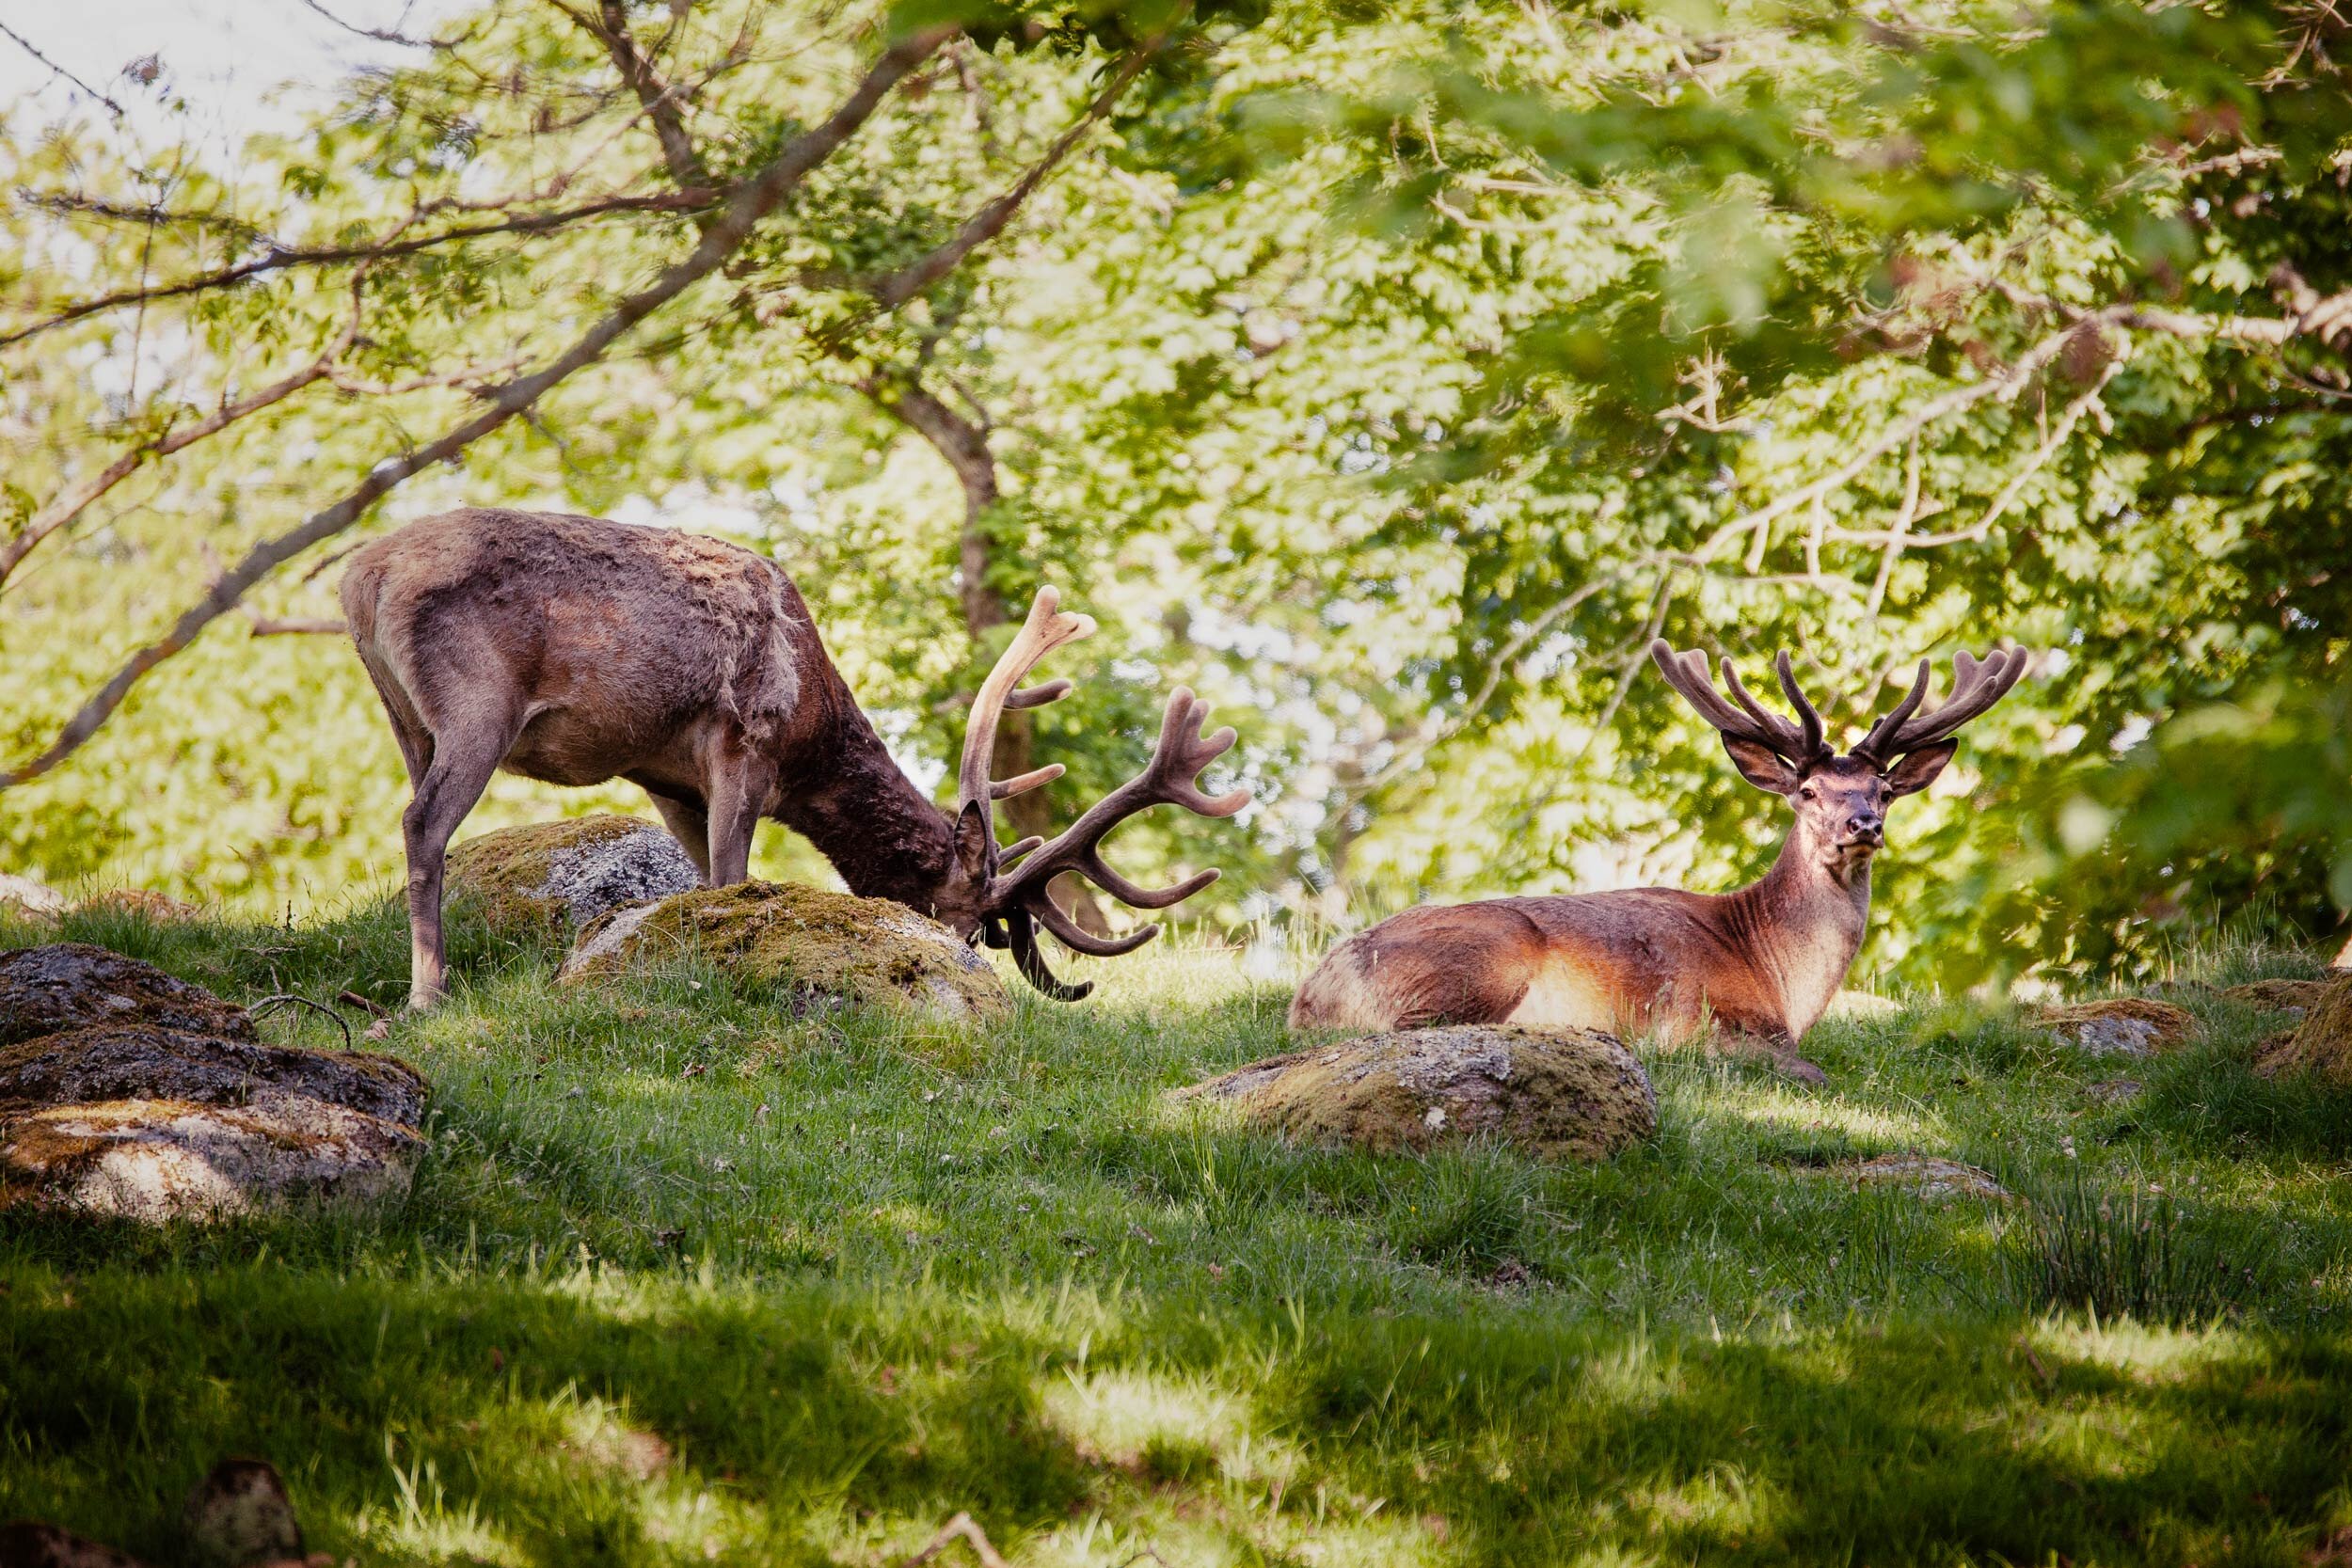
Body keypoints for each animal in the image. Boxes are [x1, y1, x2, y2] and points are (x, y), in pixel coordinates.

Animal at [343, 510, 1251, 1010]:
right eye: (962, 921)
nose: (968, 967)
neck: (814, 732)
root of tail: (361, 577)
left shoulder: (670, 778)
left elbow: (704, 879)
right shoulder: (747, 739)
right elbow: (734, 873)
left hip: (403, 717)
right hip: (478, 704)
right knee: (422, 823)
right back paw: (428, 992)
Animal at [1289, 639, 2023, 1081]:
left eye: (1885, 790)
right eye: (1808, 790)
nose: (1862, 823)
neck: (1780, 977)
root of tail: (1312, 993)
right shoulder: (1707, 1018)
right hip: (1481, 958)